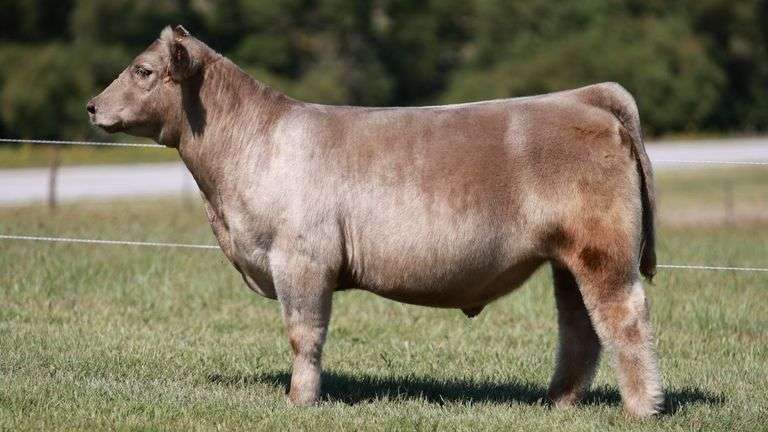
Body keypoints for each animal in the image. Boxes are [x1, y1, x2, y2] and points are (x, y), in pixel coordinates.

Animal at [87, 25, 662, 416]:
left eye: (142, 70)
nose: (92, 106)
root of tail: (586, 97)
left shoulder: (301, 259)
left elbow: (304, 334)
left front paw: (300, 401)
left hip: (603, 251)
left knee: (623, 319)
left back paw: (641, 408)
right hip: (567, 258)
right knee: (580, 330)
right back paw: (557, 402)